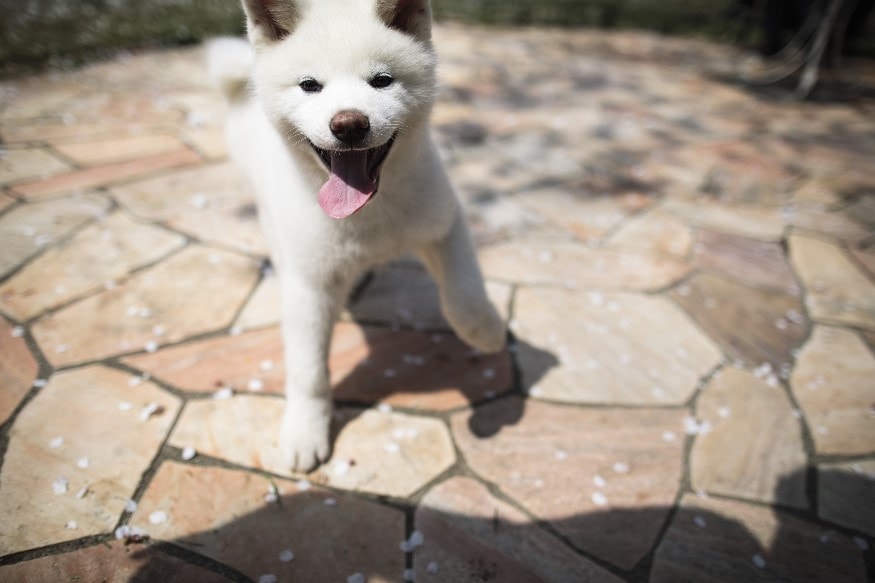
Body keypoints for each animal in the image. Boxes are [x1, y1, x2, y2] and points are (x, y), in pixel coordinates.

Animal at [207, 0, 506, 472]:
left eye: (381, 80)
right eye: (310, 86)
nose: (348, 124)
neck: (369, 216)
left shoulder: (445, 224)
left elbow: (465, 298)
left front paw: (488, 332)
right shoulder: (310, 285)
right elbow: (308, 370)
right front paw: (305, 431)